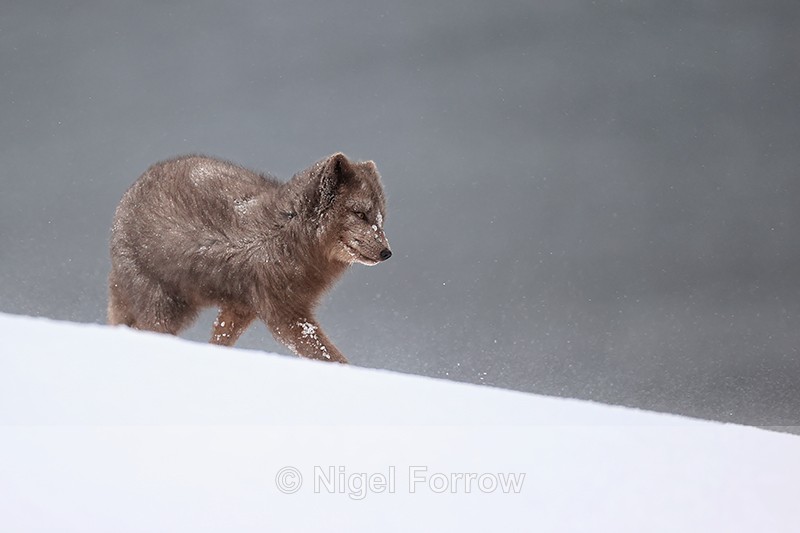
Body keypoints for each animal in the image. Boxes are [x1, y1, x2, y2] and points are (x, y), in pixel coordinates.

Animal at [107, 152, 391, 364]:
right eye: (360, 213)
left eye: (381, 218)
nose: (387, 253)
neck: (284, 234)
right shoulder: (285, 314)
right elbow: (328, 355)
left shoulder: (240, 308)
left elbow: (219, 340)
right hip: (163, 308)